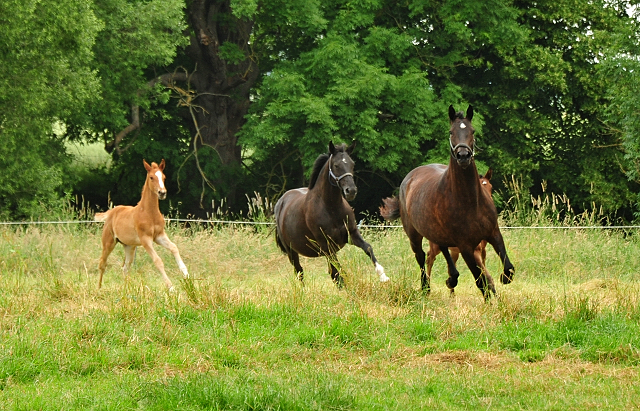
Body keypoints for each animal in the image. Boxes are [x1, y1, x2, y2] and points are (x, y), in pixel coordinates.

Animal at [95, 159, 189, 292]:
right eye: (151, 177)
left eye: (164, 177)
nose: (162, 193)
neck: (149, 213)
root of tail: (111, 212)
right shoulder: (146, 240)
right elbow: (158, 261)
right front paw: (171, 288)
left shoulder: (159, 236)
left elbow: (174, 248)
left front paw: (187, 276)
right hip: (108, 243)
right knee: (102, 264)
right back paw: (99, 288)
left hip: (129, 246)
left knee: (125, 267)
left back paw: (127, 289)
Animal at [272, 142, 388, 286]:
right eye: (336, 165)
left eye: (352, 164)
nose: (351, 191)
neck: (331, 209)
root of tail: (280, 203)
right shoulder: (327, 245)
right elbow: (337, 271)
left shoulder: (352, 235)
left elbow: (368, 248)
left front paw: (383, 276)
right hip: (291, 251)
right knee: (300, 271)